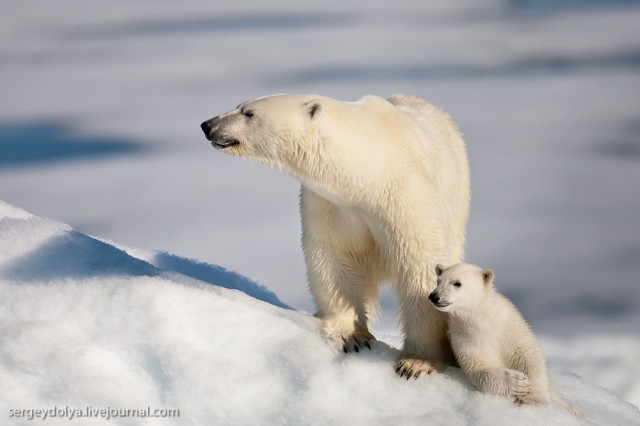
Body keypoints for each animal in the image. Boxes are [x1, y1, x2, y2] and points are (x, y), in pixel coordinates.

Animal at [201, 94, 470, 376]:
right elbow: (333, 259)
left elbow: (418, 266)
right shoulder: (331, 205)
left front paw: (416, 362)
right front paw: (351, 336)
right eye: (239, 106)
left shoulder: (405, 196)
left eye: (249, 113)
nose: (207, 125)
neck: (368, 172)